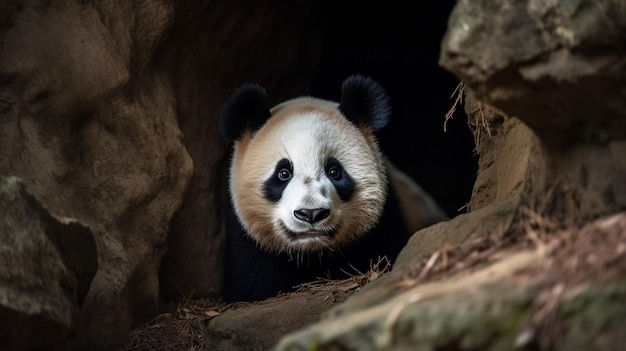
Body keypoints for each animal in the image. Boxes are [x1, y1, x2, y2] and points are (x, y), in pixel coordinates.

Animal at [219, 75, 444, 302]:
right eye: (283, 173)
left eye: (334, 171)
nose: (311, 213)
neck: (314, 254)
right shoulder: (248, 244)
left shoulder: (385, 222)